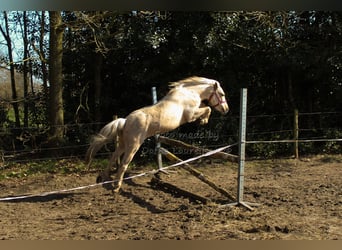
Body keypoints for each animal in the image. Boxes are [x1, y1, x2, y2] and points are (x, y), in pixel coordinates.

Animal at [86, 75, 230, 191]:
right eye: (222, 94)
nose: (226, 109)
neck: (189, 93)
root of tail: (125, 121)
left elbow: (206, 107)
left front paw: (203, 120)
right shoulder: (190, 115)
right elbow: (208, 108)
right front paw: (204, 120)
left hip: (122, 144)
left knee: (113, 158)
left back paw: (104, 178)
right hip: (133, 146)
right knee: (123, 164)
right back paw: (116, 186)